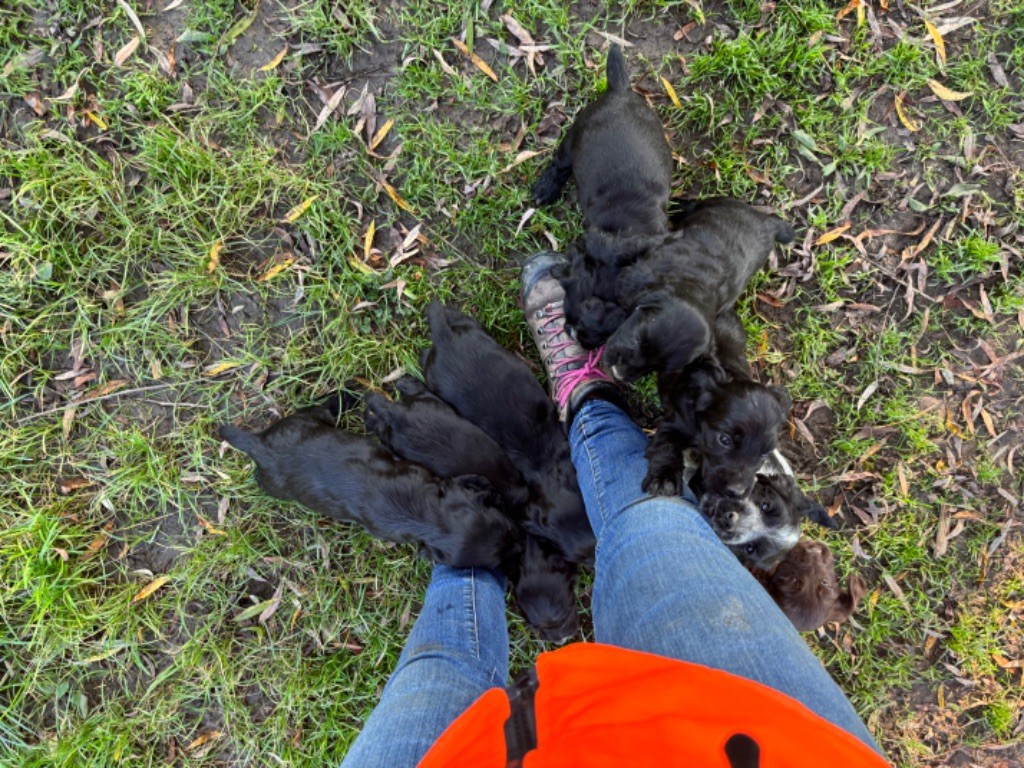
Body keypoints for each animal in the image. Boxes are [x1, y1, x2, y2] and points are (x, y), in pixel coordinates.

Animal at [217, 397, 520, 573]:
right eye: (496, 562)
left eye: (508, 527)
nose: (519, 547)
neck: (427, 516)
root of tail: (259, 446)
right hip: (276, 480)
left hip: (298, 424)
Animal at [602, 198, 794, 385]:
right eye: (636, 341)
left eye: (658, 369)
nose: (618, 375)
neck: (695, 283)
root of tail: (768, 222)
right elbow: (623, 250)